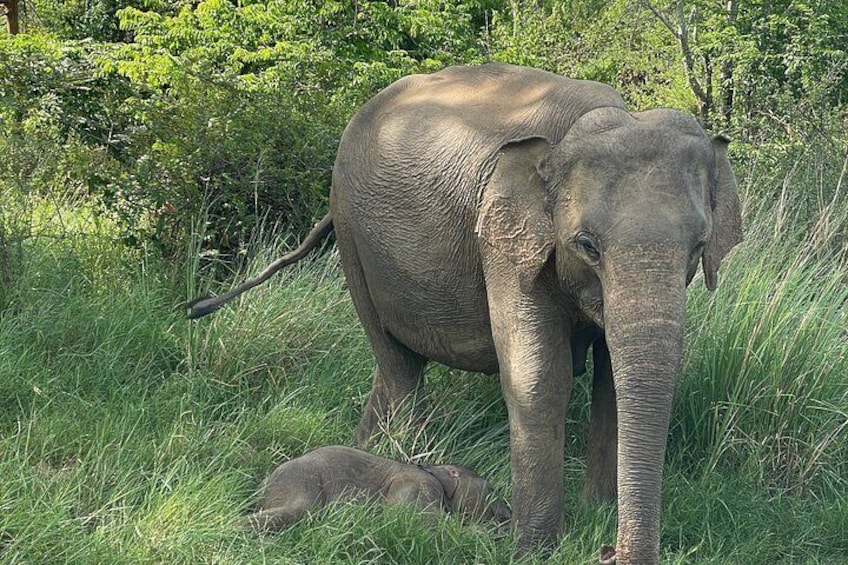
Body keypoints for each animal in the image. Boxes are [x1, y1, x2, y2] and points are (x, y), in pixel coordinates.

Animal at [245, 445, 511, 531]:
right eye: (491, 489)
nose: (508, 513)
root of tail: (262, 485)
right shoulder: (419, 484)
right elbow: (417, 519)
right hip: (300, 480)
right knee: (301, 509)